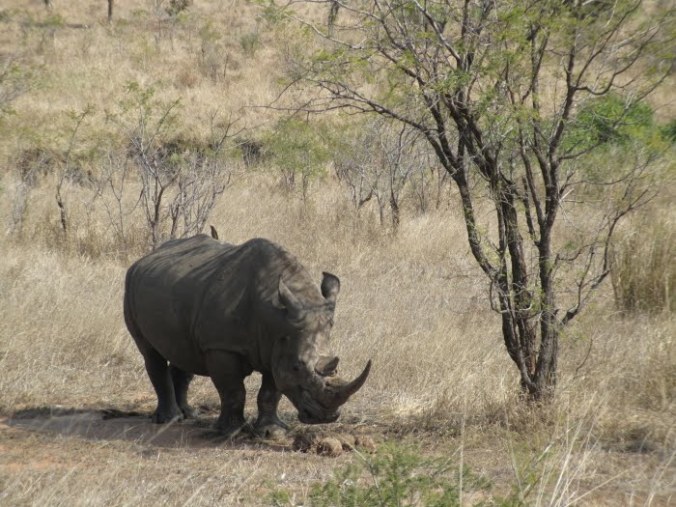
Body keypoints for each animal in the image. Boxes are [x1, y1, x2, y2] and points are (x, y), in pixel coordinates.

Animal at [123, 234, 371, 438]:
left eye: (336, 369)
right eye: (297, 368)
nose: (325, 418)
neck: (276, 316)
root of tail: (145, 257)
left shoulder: (277, 345)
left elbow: (271, 392)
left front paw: (272, 432)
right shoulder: (221, 346)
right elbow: (233, 391)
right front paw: (231, 432)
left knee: (182, 352)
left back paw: (189, 415)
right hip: (130, 286)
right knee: (150, 353)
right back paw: (170, 419)